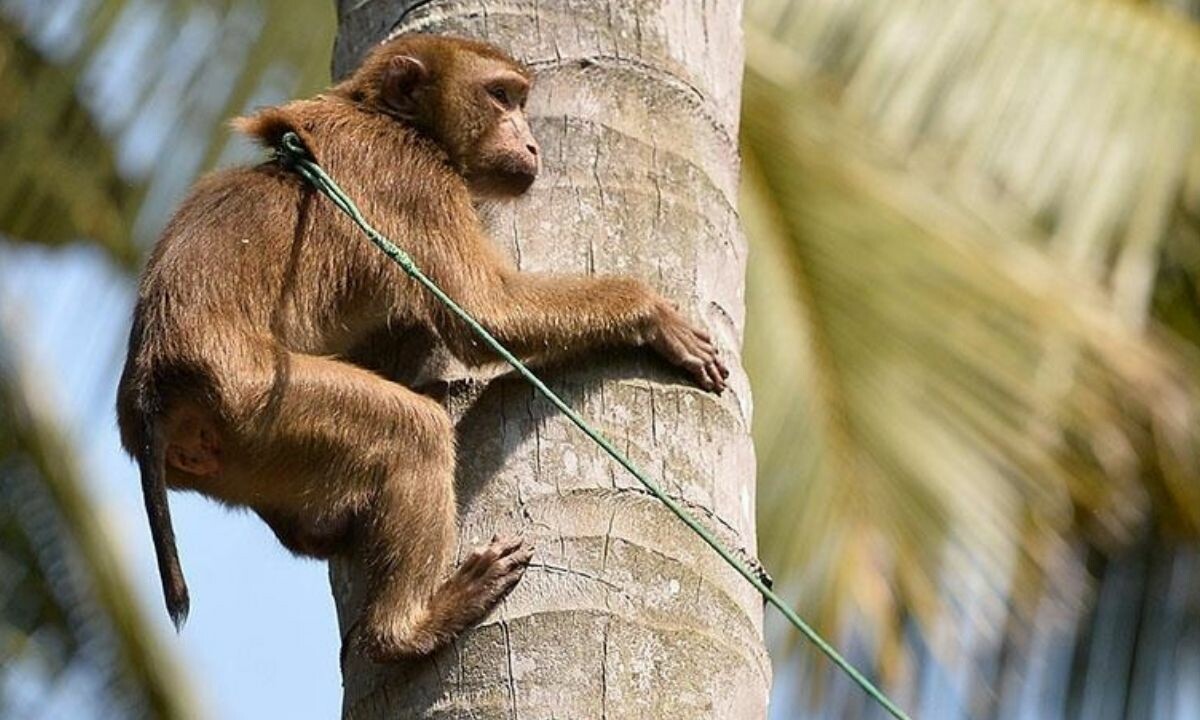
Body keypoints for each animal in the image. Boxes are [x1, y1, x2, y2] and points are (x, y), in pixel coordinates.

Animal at [114, 35, 729, 662]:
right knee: (414, 431)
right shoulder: (416, 180)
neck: (385, 116)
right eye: (501, 97)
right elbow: (486, 316)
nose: (531, 142)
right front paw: (650, 311)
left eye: (520, 102)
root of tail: (151, 389)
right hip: (255, 399)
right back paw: (408, 628)